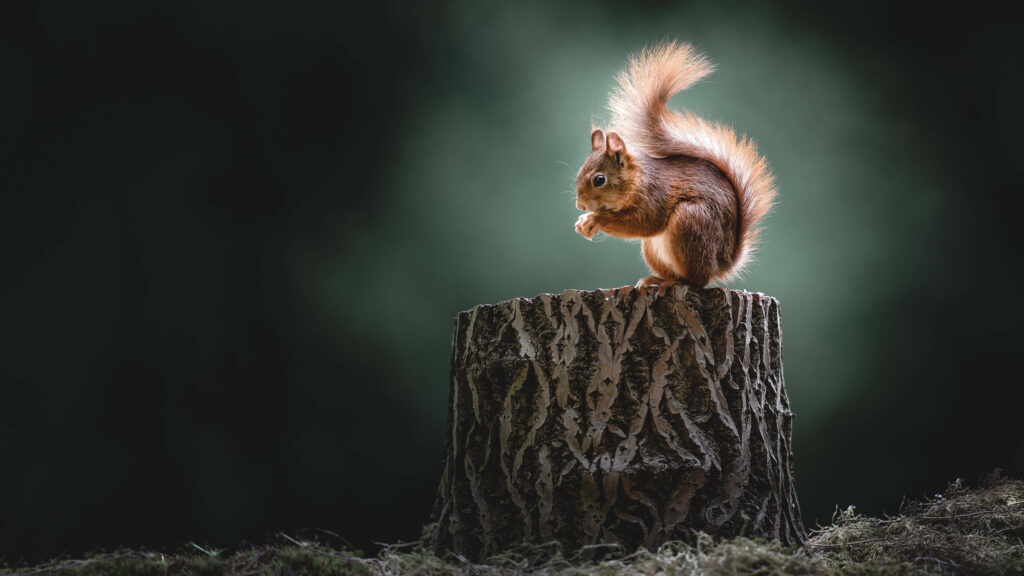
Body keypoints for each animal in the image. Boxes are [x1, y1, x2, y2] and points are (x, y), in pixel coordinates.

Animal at [574, 41, 776, 289]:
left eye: (599, 179)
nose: (581, 206)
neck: (637, 178)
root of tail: (719, 264)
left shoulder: (654, 194)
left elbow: (645, 223)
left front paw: (596, 219)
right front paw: (583, 223)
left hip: (689, 222)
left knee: (695, 280)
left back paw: (670, 283)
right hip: (653, 248)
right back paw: (656, 278)